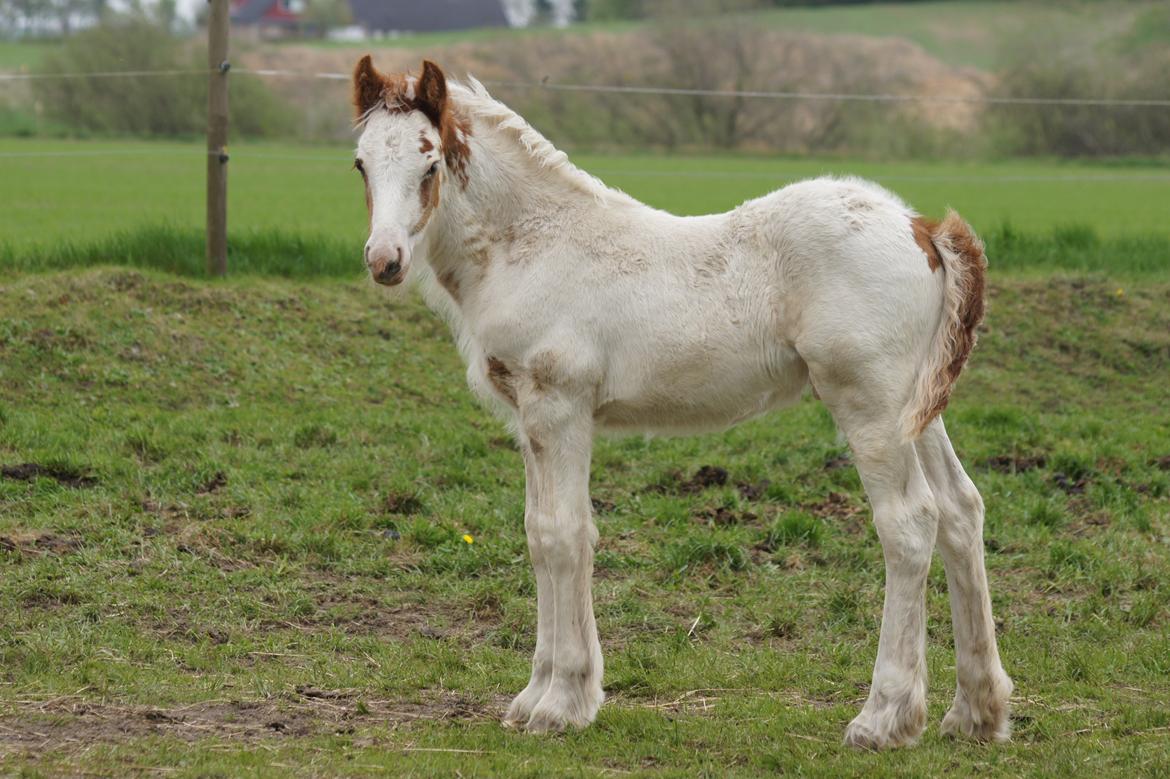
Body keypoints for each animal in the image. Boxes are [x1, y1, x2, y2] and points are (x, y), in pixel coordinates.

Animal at [348, 56, 1015, 748]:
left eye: (429, 164)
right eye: (361, 164)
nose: (385, 259)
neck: (531, 244)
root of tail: (922, 229)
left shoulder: (560, 408)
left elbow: (565, 536)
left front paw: (562, 703)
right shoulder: (528, 419)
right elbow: (537, 533)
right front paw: (533, 696)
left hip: (870, 404)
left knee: (909, 523)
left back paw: (884, 717)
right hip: (917, 409)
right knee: (961, 510)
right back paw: (975, 712)